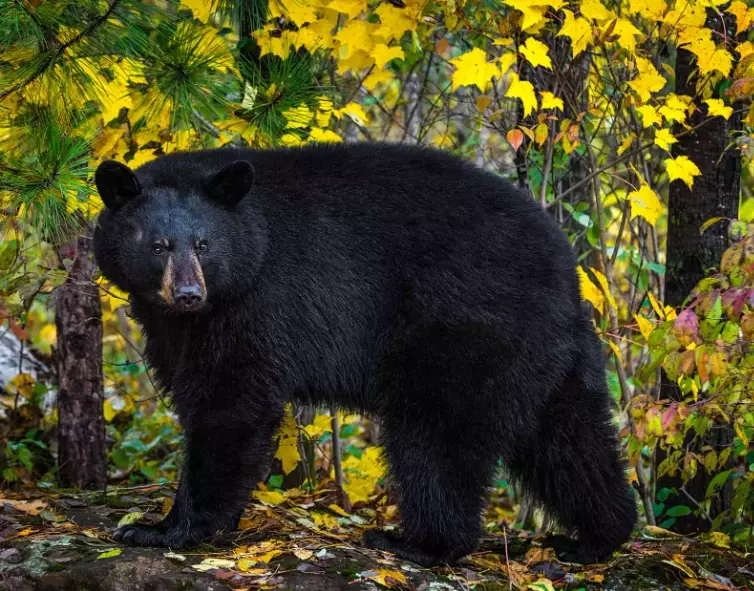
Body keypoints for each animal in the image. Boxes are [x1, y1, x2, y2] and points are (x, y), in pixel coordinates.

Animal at [93, 141, 637, 567]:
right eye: (159, 245)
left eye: (204, 244)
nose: (188, 293)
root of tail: (567, 270)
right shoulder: (176, 325)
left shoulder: (256, 307)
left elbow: (229, 407)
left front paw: (164, 528)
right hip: (552, 356)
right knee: (570, 439)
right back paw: (595, 538)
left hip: (464, 332)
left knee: (434, 440)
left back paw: (420, 543)